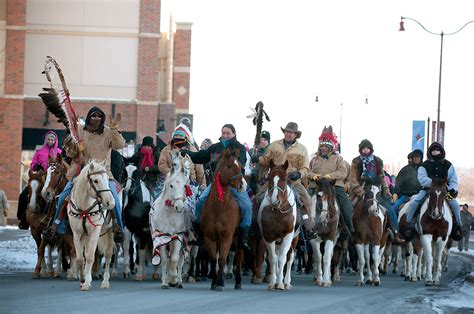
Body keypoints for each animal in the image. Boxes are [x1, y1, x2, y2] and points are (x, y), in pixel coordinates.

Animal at [67, 161, 116, 290]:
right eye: (96, 180)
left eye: (108, 179)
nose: (111, 203)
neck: (84, 207)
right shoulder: (76, 234)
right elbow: (80, 258)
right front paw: (82, 279)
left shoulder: (95, 231)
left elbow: (90, 257)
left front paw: (87, 283)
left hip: (110, 232)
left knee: (108, 255)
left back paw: (105, 282)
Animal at [149, 152, 192, 290]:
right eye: (171, 185)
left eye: (184, 185)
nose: (179, 206)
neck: (168, 214)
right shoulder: (161, 237)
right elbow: (164, 259)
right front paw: (165, 281)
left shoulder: (177, 236)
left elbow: (174, 259)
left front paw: (174, 279)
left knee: (180, 259)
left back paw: (178, 281)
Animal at [200, 146, 244, 290]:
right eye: (229, 165)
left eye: (241, 166)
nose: (241, 185)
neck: (219, 207)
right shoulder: (209, 237)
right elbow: (214, 259)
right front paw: (214, 281)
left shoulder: (227, 236)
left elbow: (223, 259)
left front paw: (220, 282)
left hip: (238, 237)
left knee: (239, 257)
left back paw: (238, 281)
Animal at [258, 161, 298, 290]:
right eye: (269, 178)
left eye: (284, 179)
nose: (275, 201)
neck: (278, 211)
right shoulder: (268, 236)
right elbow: (273, 258)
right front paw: (272, 282)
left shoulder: (288, 235)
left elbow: (282, 259)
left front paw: (280, 283)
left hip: (294, 239)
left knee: (290, 259)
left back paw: (286, 282)